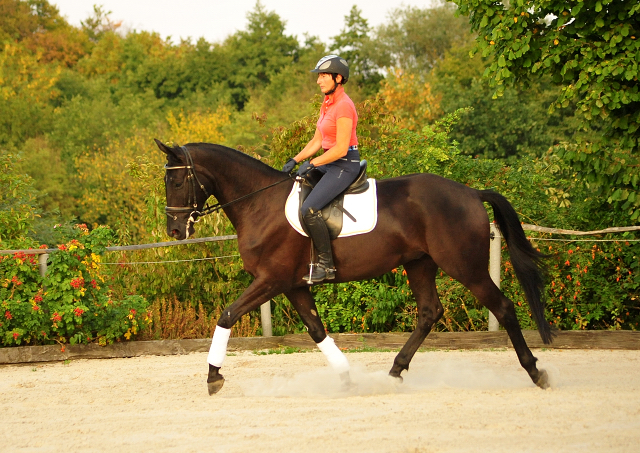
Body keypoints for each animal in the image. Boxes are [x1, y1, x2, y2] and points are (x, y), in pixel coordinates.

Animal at [154, 139, 552, 394]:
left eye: (177, 179)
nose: (174, 230)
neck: (259, 204)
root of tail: (470, 193)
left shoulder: (271, 280)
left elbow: (227, 315)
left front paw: (213, 377)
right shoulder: (294, 285)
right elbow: (316, 330)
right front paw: (347, 379)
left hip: (464, 266)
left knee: (503, 307)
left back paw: (536, 372)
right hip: (419, 264)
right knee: (429, 312)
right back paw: (393, 374)